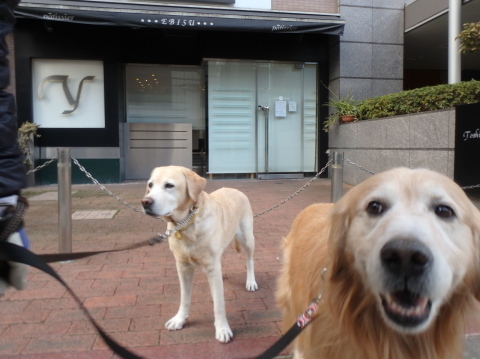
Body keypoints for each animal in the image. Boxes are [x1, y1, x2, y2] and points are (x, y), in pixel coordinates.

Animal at [142, 166, 258, 344]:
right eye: (150, 185)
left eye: (169, 185)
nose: (145, 202)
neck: (186, 224)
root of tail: (234, 189)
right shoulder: (183, 266)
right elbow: (184, 298)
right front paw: (179, 320)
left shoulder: (211, 268)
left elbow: (218, 303)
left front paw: (222, 329)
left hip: (246, 238)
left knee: (250, 260)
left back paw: (251, 281)